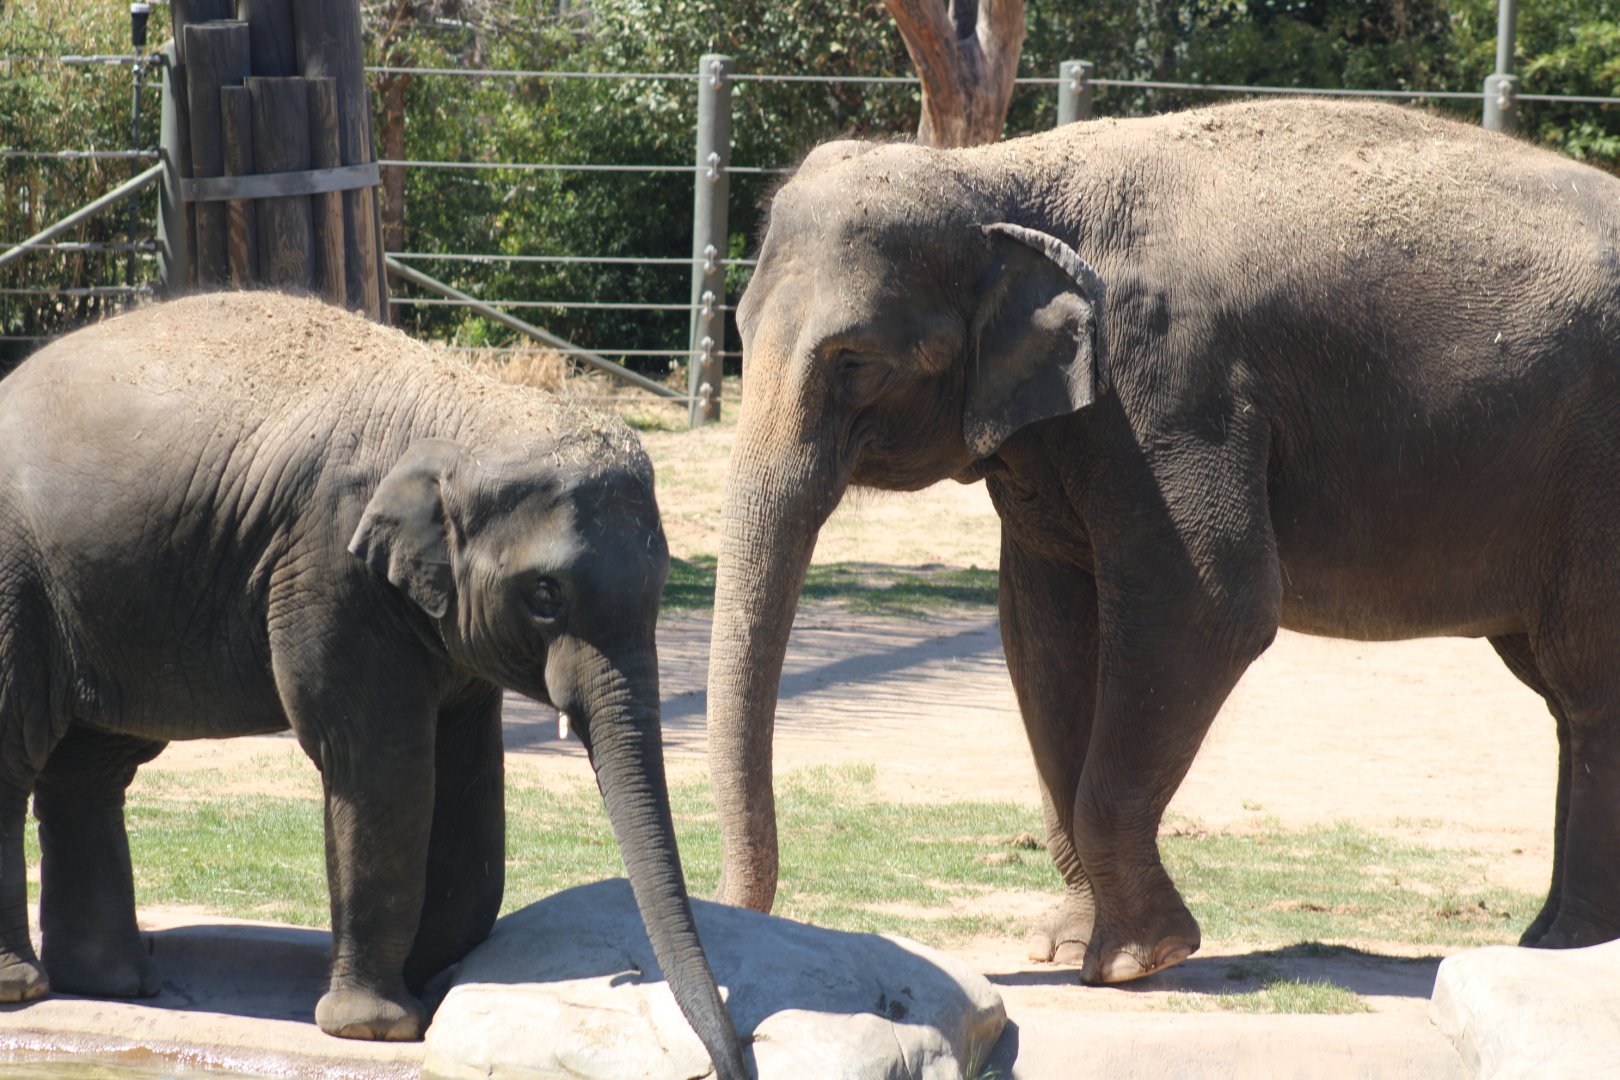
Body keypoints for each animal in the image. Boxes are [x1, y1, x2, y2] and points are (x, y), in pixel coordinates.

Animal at [0, 292, 747, 1079]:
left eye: (661, 586)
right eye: (546, 595)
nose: (730, 1062)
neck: (470, 413)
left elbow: (466, 777)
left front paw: (430, 985)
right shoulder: (332, 568)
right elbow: (381, 765)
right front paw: (376, 1027)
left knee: (92, 768)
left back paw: (114, 983)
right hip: (18, 575)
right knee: (17, 748)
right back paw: (25, 989)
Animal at [706, 98, 1620, 984]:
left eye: (854, 360)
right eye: (740, 337)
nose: (741, 919)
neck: (1002, 175)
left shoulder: (1171, 384)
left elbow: (1208, 606)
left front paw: (1138, 960)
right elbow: (1042, 627)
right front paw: (1064, 948)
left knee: (1586, 681)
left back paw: (1565, 947)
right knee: (1563, 692)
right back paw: (1546, 945)